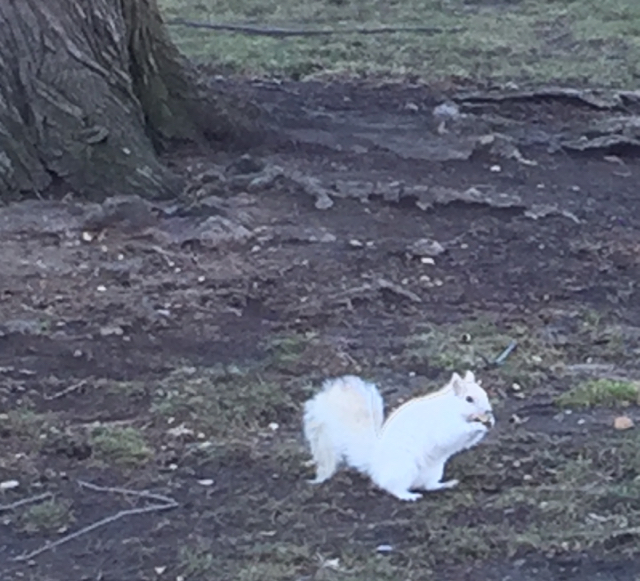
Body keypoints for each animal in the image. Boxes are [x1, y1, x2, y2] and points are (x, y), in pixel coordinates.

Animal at [302, 371, 494, 501]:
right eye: (469, 399)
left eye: (485, 393)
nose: (488, 411)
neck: (452, 409)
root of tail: (375, 462)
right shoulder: (444, 427)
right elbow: (455, 433)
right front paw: (478, 426)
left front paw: (489, 423)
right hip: (404, 468)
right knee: (392, 487)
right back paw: (408, 496)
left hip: (434, 470)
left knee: (429, 486)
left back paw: (445, 484)